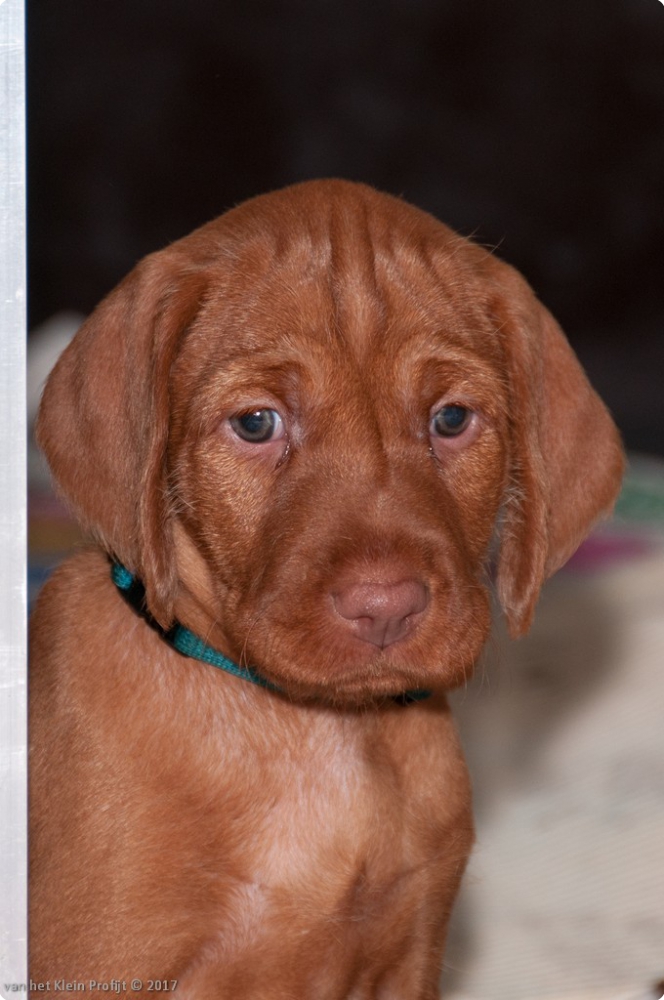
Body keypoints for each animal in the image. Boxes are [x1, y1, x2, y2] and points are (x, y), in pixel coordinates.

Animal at [29, 179, 624, 998]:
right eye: (256, 423)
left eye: (450, 418)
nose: (385, 607)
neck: (324, 733)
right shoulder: (99, 964)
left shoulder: (407, 957)